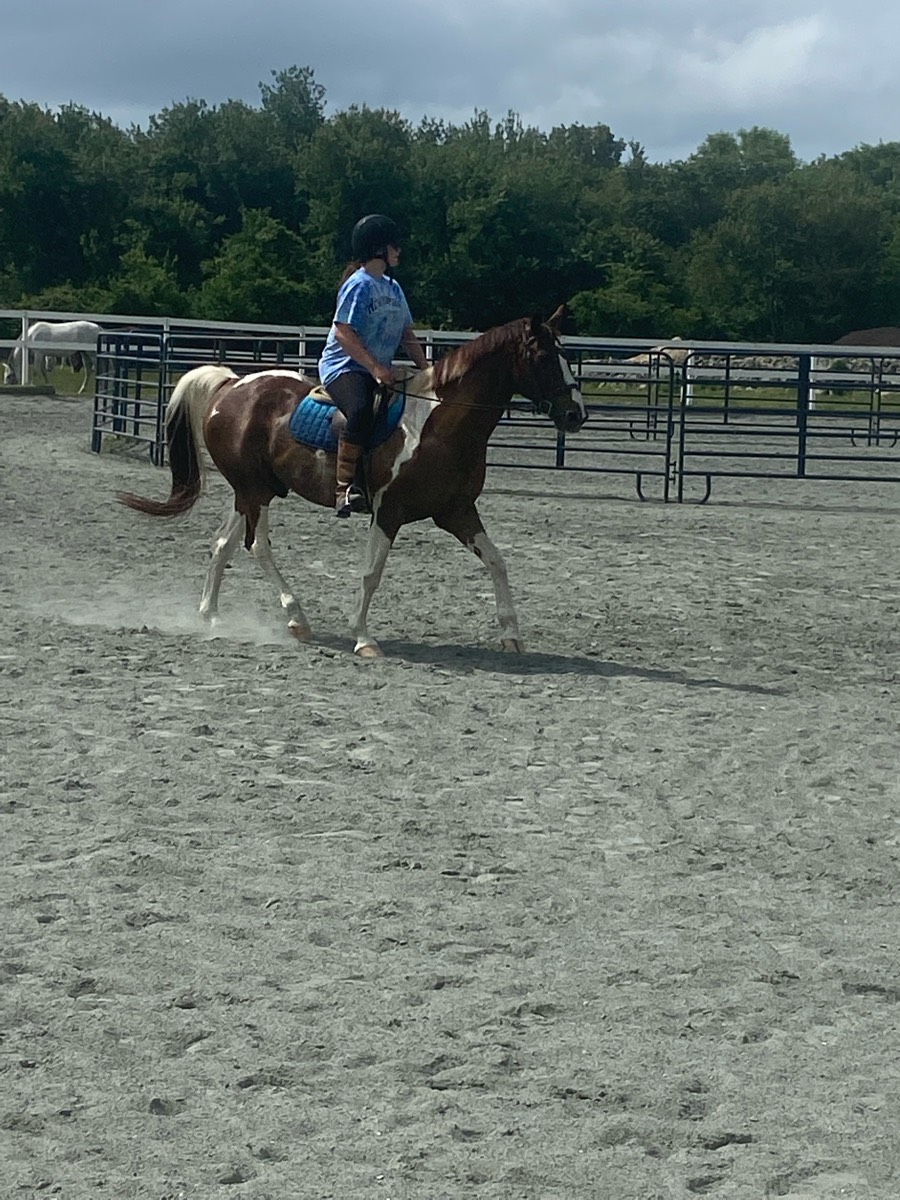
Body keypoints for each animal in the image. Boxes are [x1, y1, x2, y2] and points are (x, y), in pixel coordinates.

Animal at [118, 306, 587, 657]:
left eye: (566, 356)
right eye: (545, 358)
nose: (577, 414)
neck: (437, 425)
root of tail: (233, 384)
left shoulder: (456, 511)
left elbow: (496, 561)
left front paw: (511, 634)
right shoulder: (388, 511)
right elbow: (371, 573)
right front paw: (363, 638)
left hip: (253, 491)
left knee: (224, 544)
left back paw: (210, 615)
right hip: (255, 492)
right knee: (257, 546)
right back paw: (296, 618)